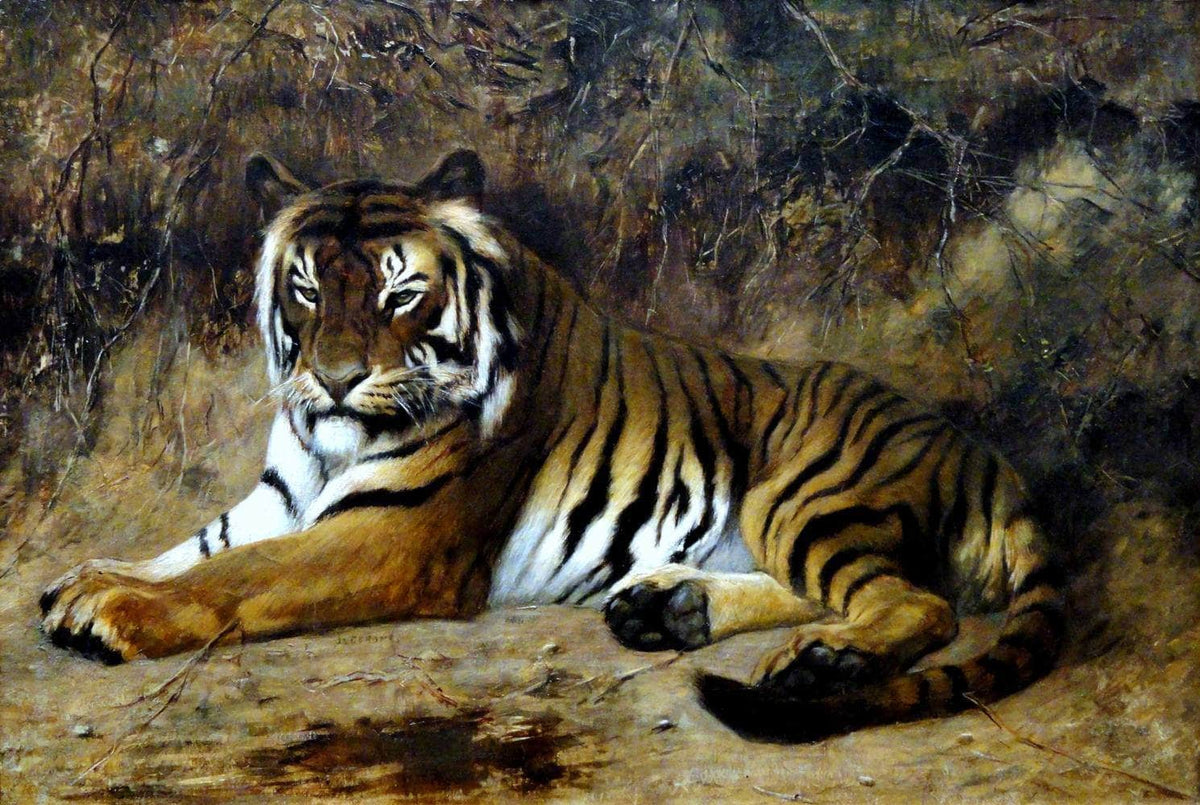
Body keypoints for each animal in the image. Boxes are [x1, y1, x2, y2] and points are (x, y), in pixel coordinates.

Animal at [39, 149, 1065, 742]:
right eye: (305, 289)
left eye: (398, 293)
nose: (331, 381)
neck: (328, 444)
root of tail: (986, 453)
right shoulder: (280, 499)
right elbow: (193, 547)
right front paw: (82, 581)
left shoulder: (396, 537)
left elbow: (237, 575)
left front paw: (113, 612)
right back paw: (673, 607)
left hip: (799, 491)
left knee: (918, 600)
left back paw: (825, 661)